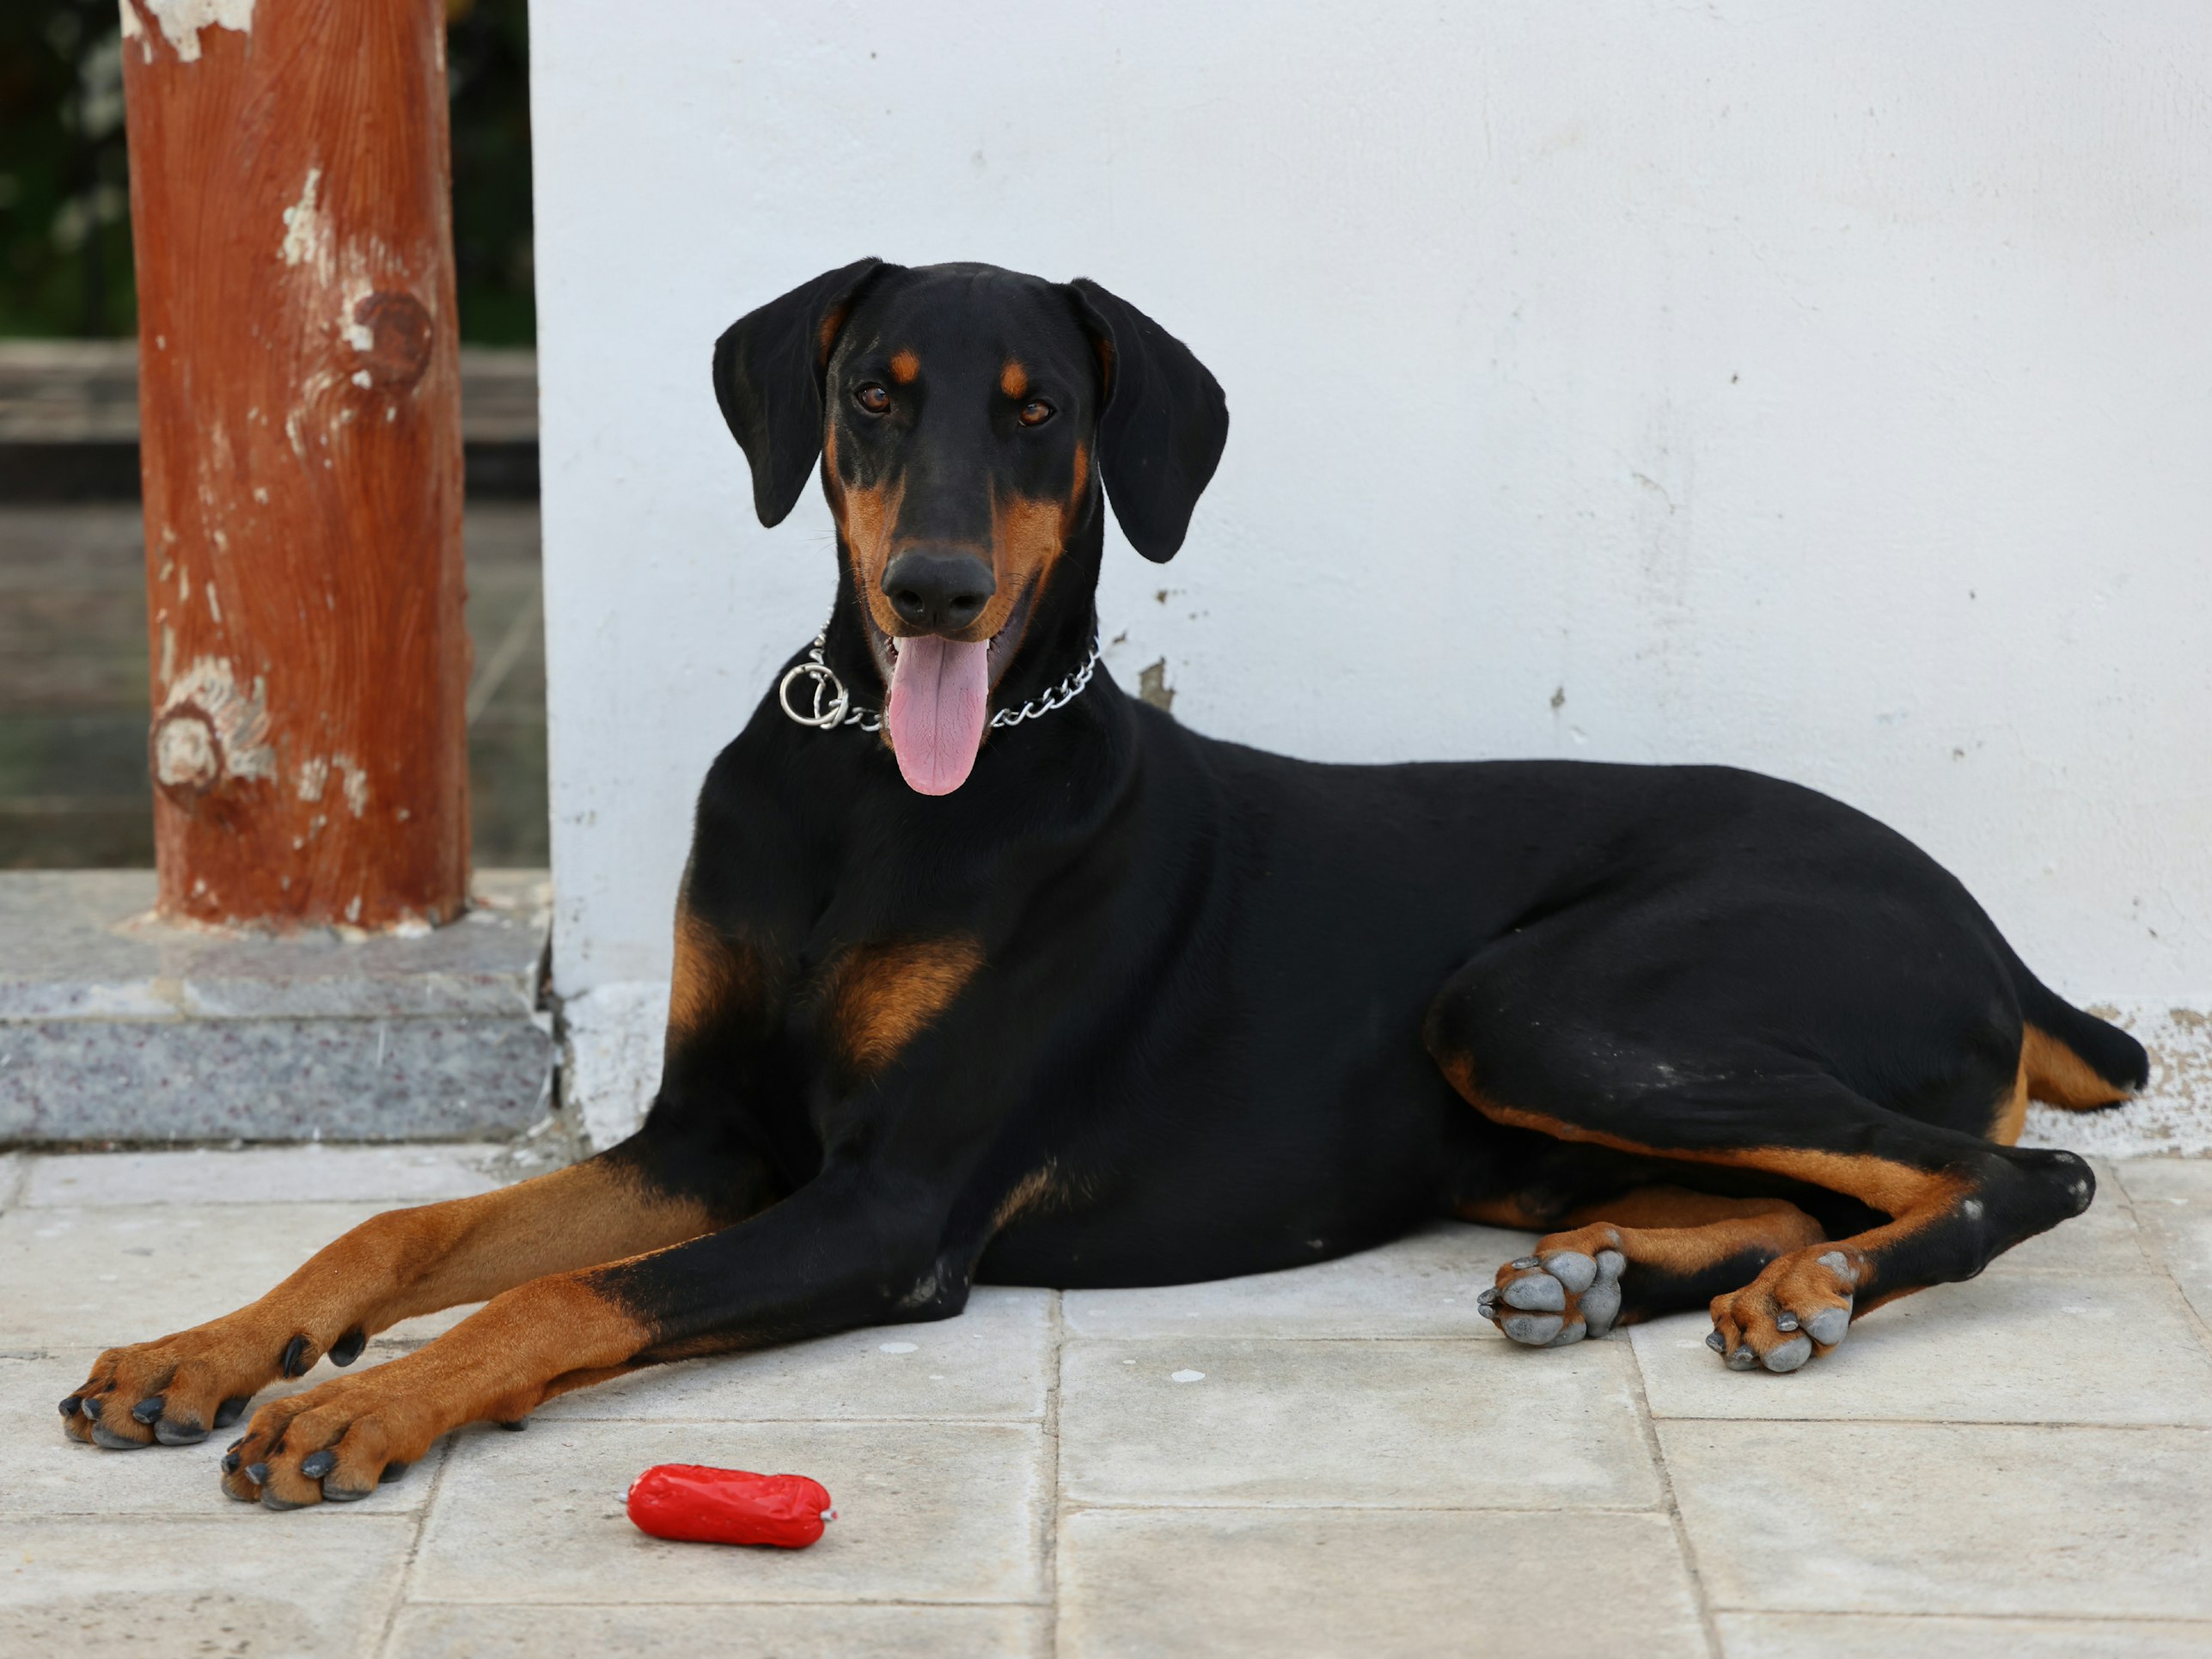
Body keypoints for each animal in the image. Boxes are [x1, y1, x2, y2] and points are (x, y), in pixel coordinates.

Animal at [64, 256, 2141, 1503]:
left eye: (1041, 409)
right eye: (876, 393)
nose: (936, 591)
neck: (873, 789)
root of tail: (1992, 937)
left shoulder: (889, 1205)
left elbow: (558, 1302)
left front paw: (355, 1402)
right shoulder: (712, 1136)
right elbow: (400, 1233)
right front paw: (204, 1351)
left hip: (1537, 1000)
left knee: (2014, 1172)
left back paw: (1805, 1294)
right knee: (1800, 1180)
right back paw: (1612, 1268)